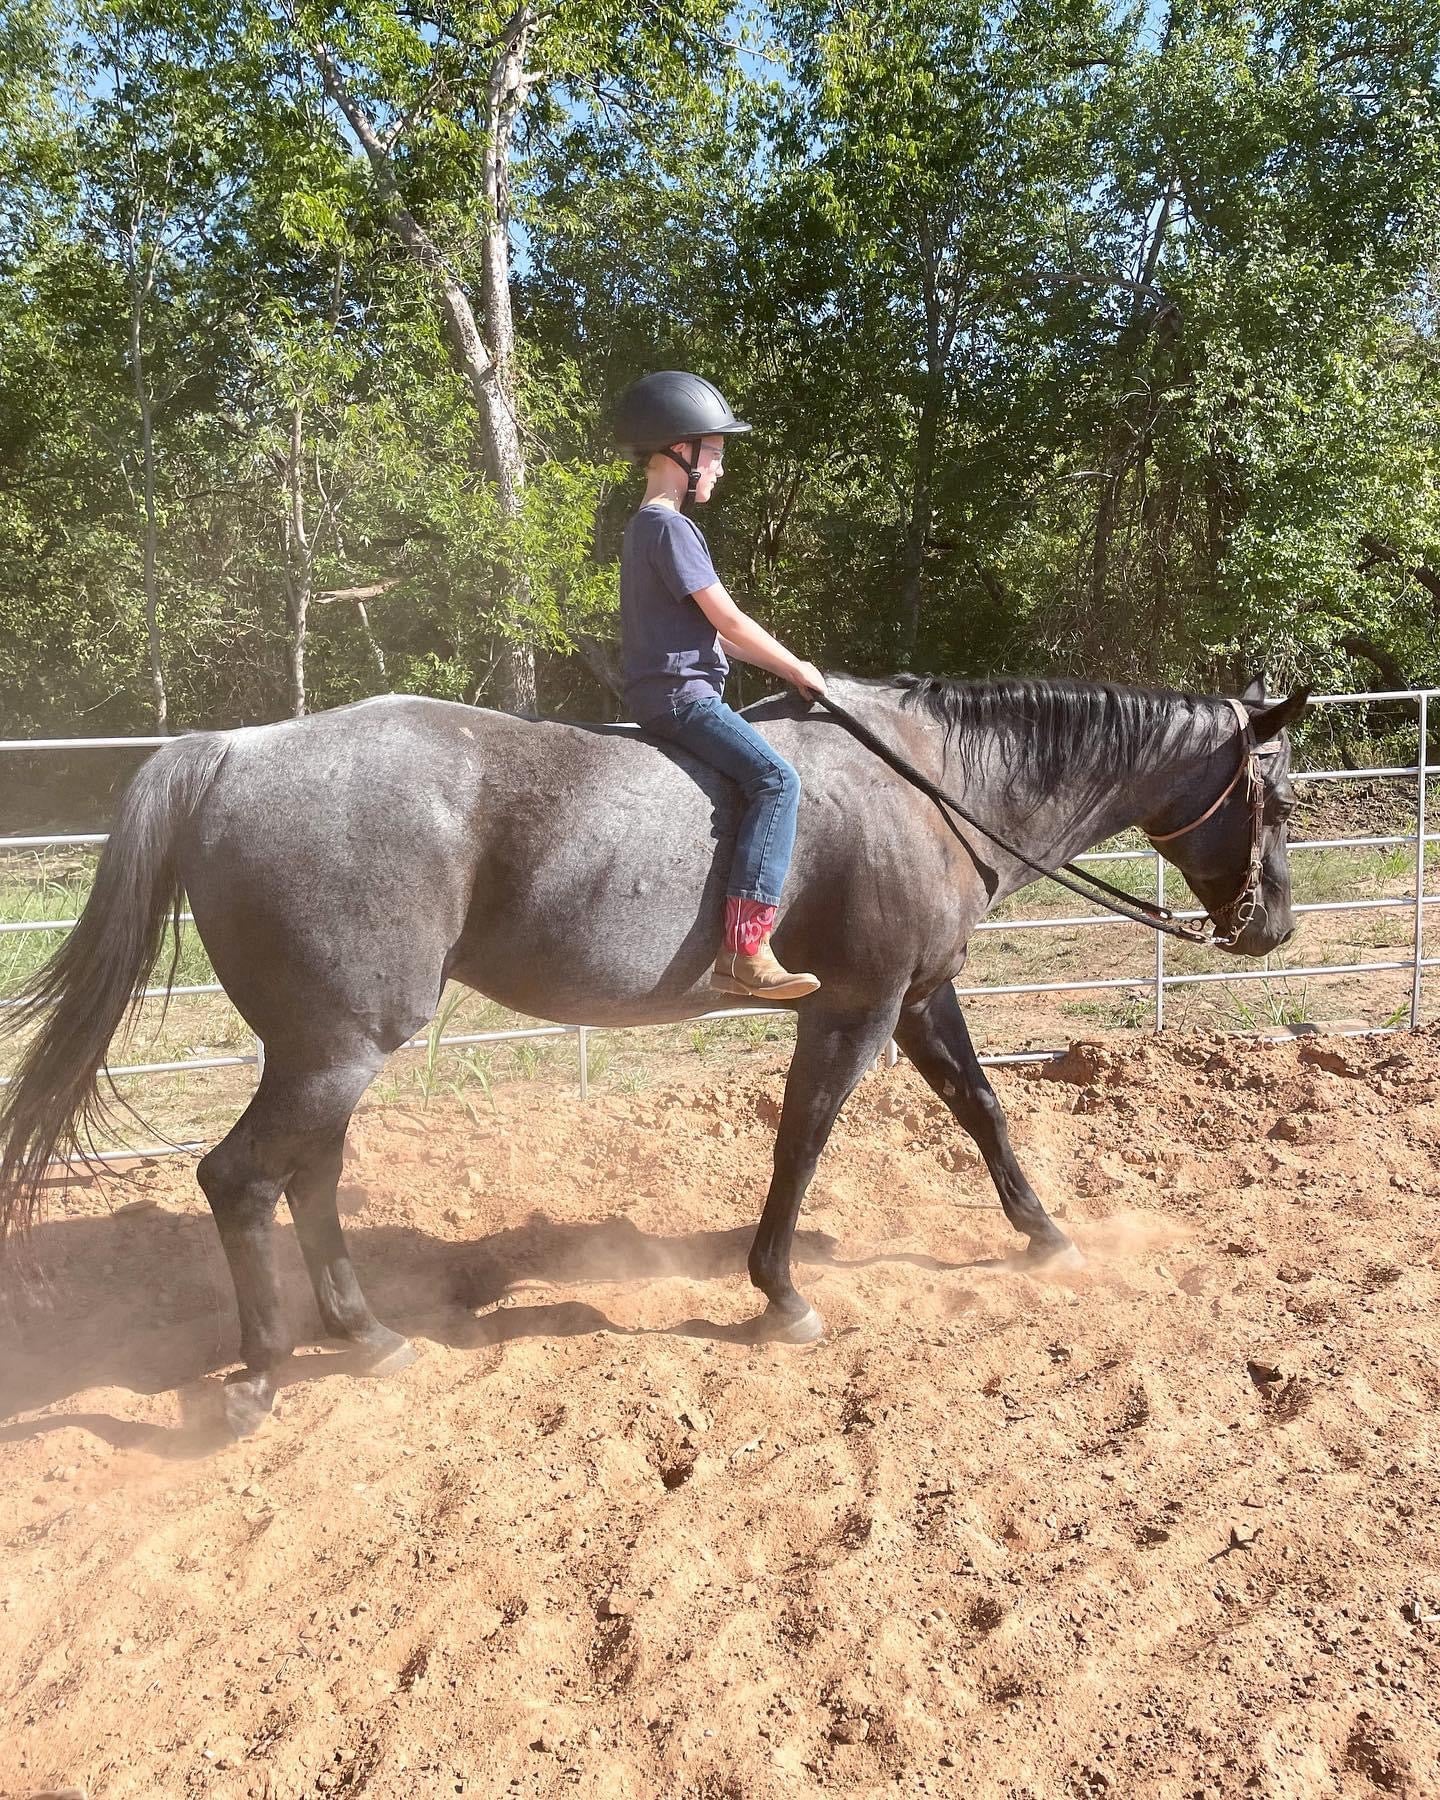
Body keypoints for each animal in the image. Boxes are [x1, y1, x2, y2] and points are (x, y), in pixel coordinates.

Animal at [0, 676, 1303, 1432]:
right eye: (1277, 802)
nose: (1273, 928)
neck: (931, 783)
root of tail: (236, 749)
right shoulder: (859, 1005)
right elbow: (803, 1138)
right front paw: (779, 1292)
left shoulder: (923, 995)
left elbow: (982, 1108)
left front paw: (1045, 1235)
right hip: (333, 1049)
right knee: (241, 1179)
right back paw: (264, 1372)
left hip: (330, 1053)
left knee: (305, 1179)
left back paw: (363, 1337)